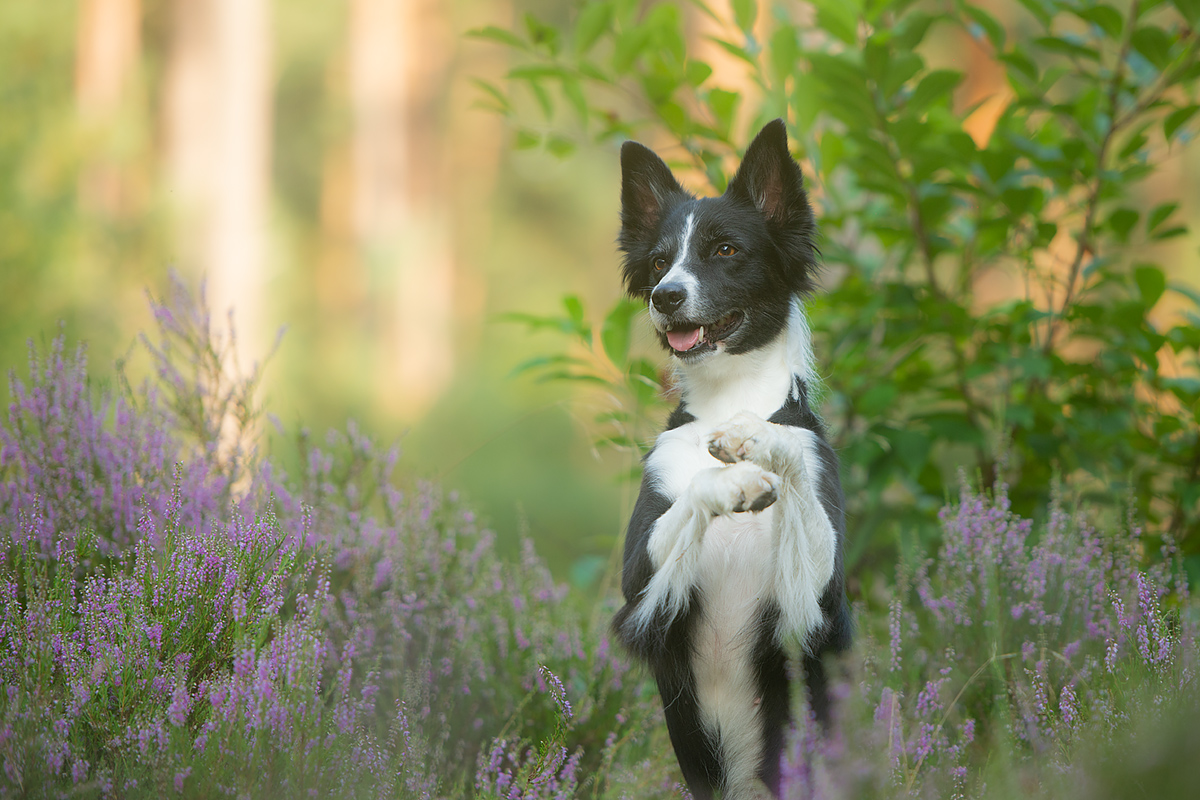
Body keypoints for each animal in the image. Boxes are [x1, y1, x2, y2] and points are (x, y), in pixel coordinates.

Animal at [609, 120, 854, 800]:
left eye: (724, 250)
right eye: (659, 262)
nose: (666, 296)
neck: (728, 394)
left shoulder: (815, 598)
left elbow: (787, 457)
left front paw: (755, 441)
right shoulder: (641, 586)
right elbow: (694, 494)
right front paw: (732, 483)